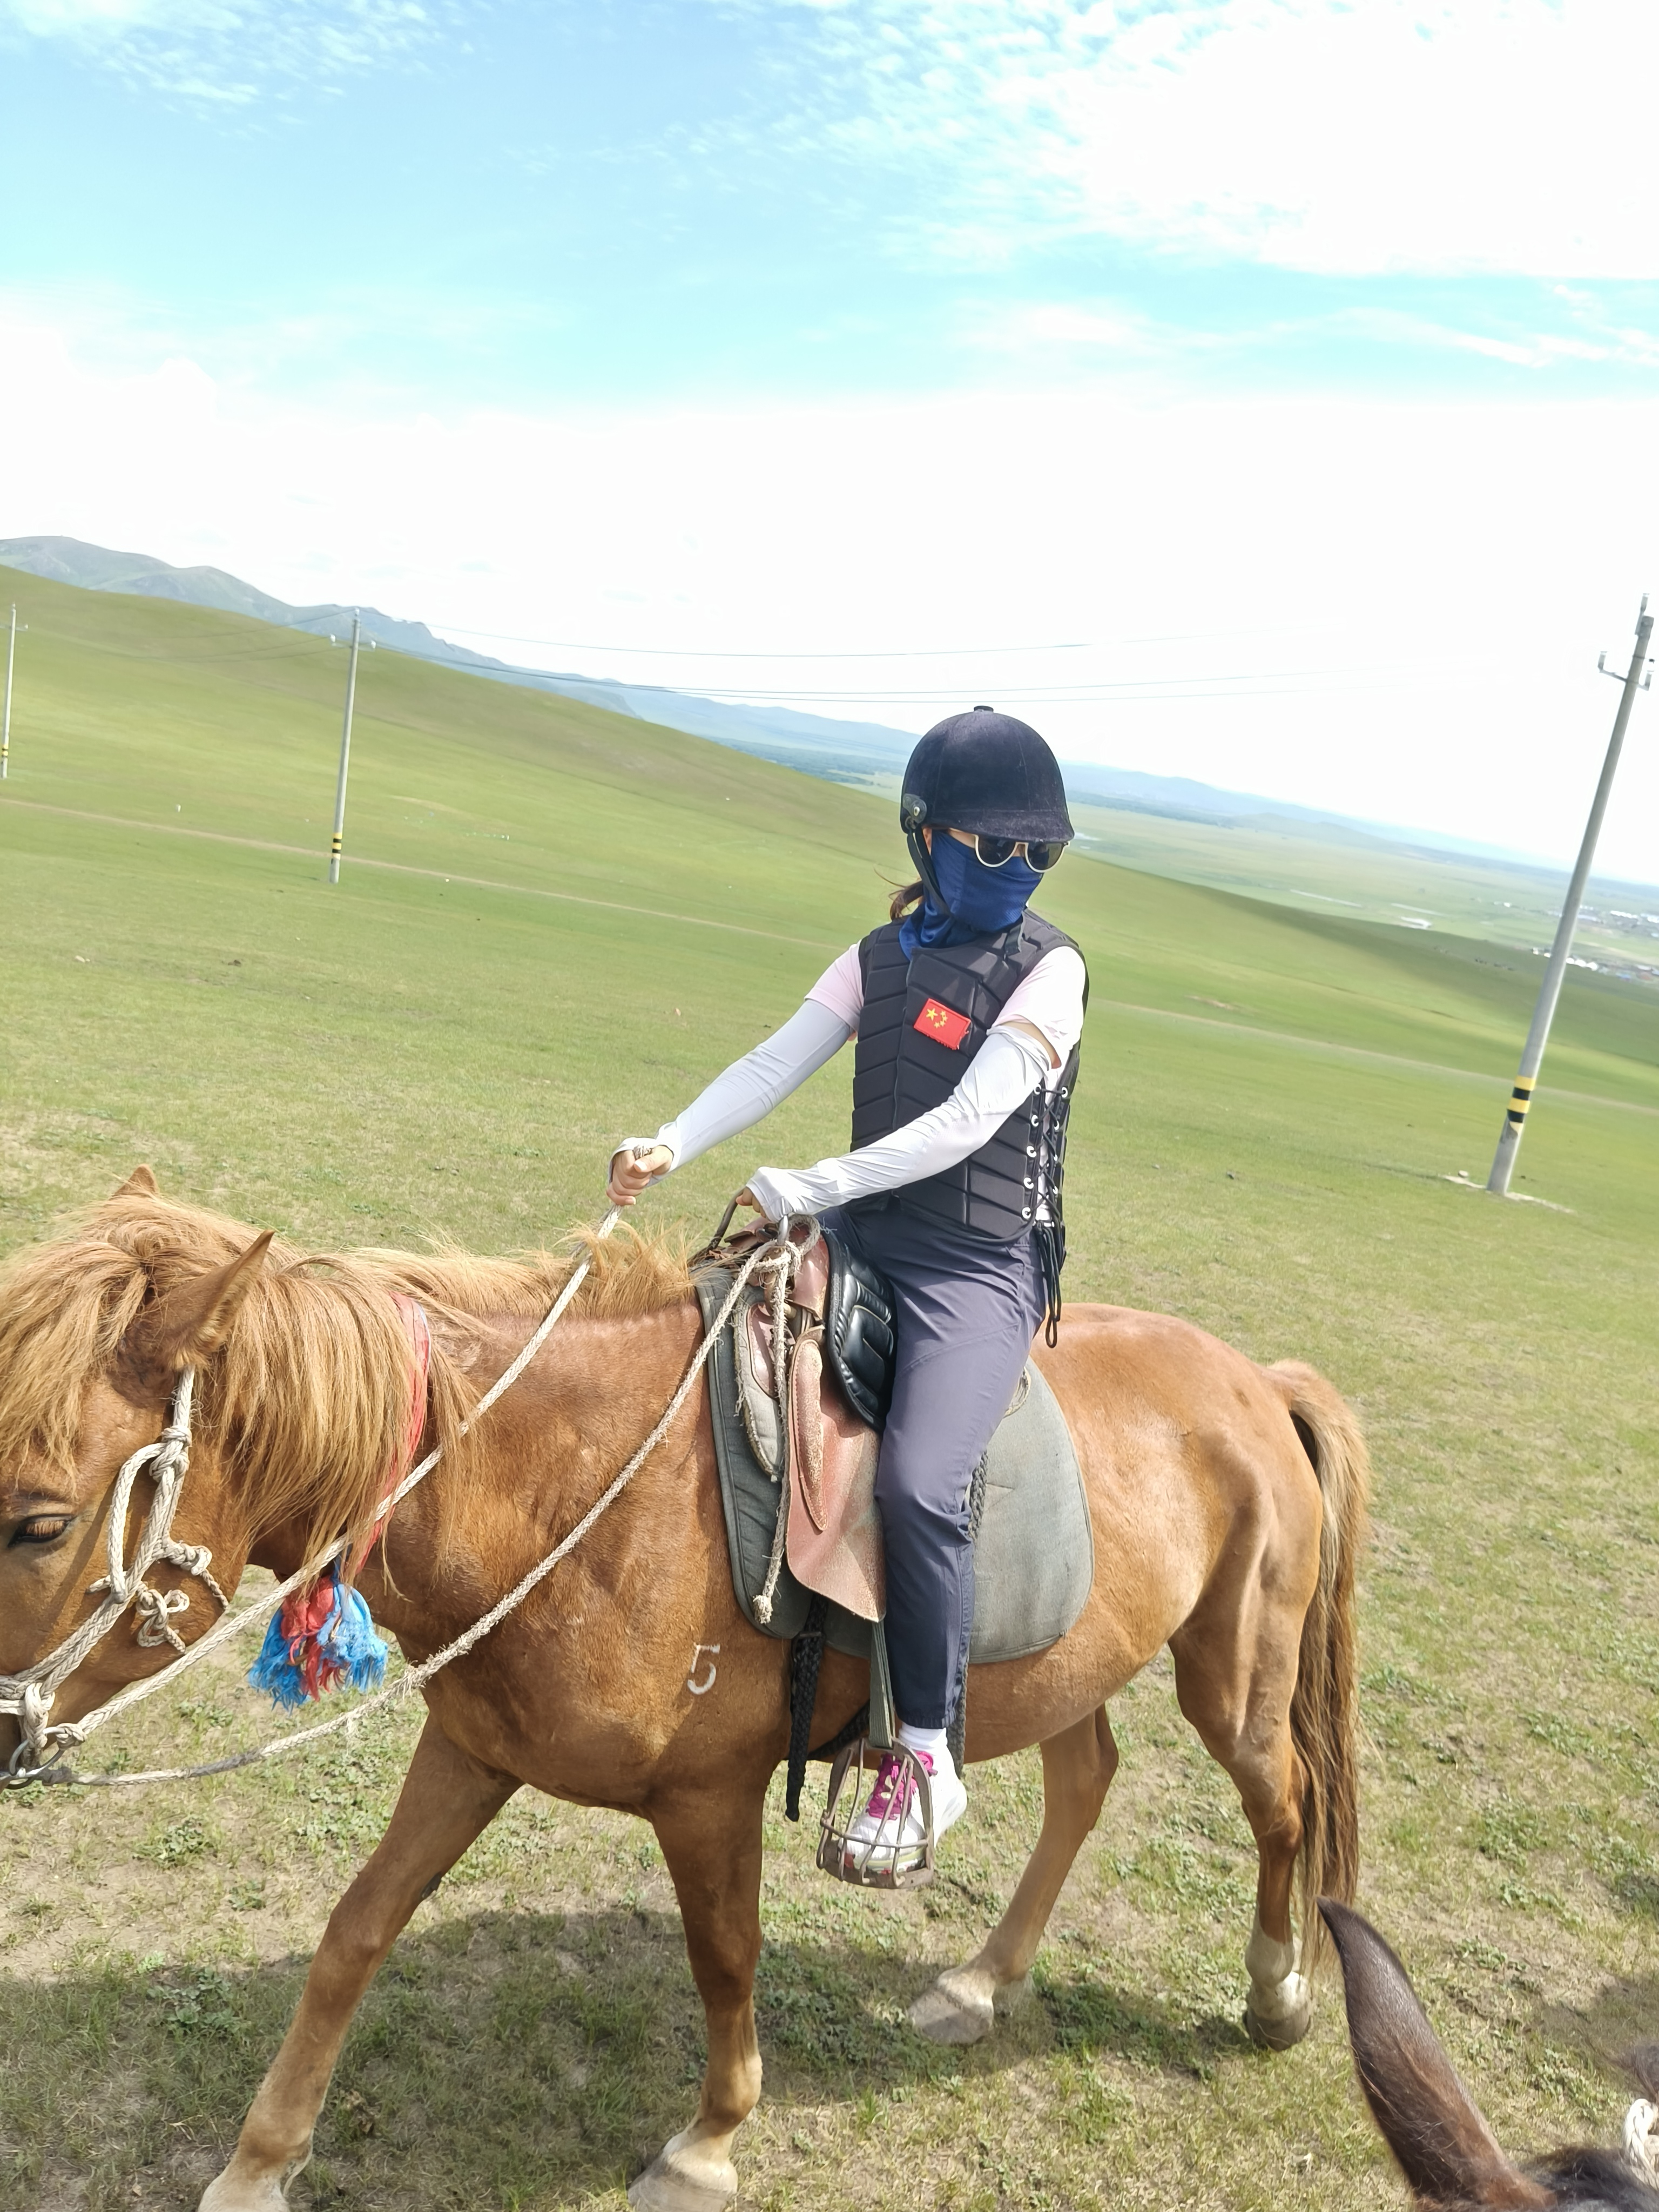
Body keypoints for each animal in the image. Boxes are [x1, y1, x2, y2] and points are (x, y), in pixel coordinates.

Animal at [0, 1172, 1369, 2212]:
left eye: (42, 1522)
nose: (2, 1730)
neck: (569, 1486)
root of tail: (1258, 1379)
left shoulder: (709, 1795)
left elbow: (725, 1955)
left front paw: (706, 2145)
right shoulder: (471, 1750)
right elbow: (354, 1932)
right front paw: (258, 2164)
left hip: (1234, 1671)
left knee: (1285, 1805)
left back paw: (1277, 1994)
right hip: (1068, 1666)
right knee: (1085, 1784)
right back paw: (980, 1983)